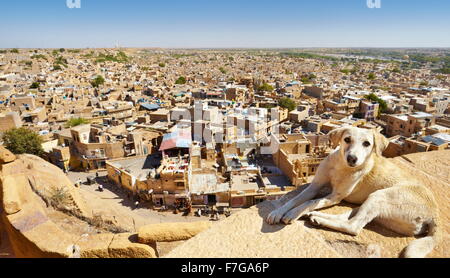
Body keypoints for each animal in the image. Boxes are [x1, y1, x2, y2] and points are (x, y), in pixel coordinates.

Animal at [266, 127, 442, 258]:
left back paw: (316, 218)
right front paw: (278, 212)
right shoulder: (315, 186)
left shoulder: (335, 197)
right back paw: (315, 217)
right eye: (347, 139)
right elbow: (294, 199)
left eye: (367, 144)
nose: (352, 158)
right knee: (349, 217)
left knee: (353, 226)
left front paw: (292, 214)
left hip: (380, 196)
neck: (341, 166)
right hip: (376, 206)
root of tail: (434, 214)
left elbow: (309, 202)